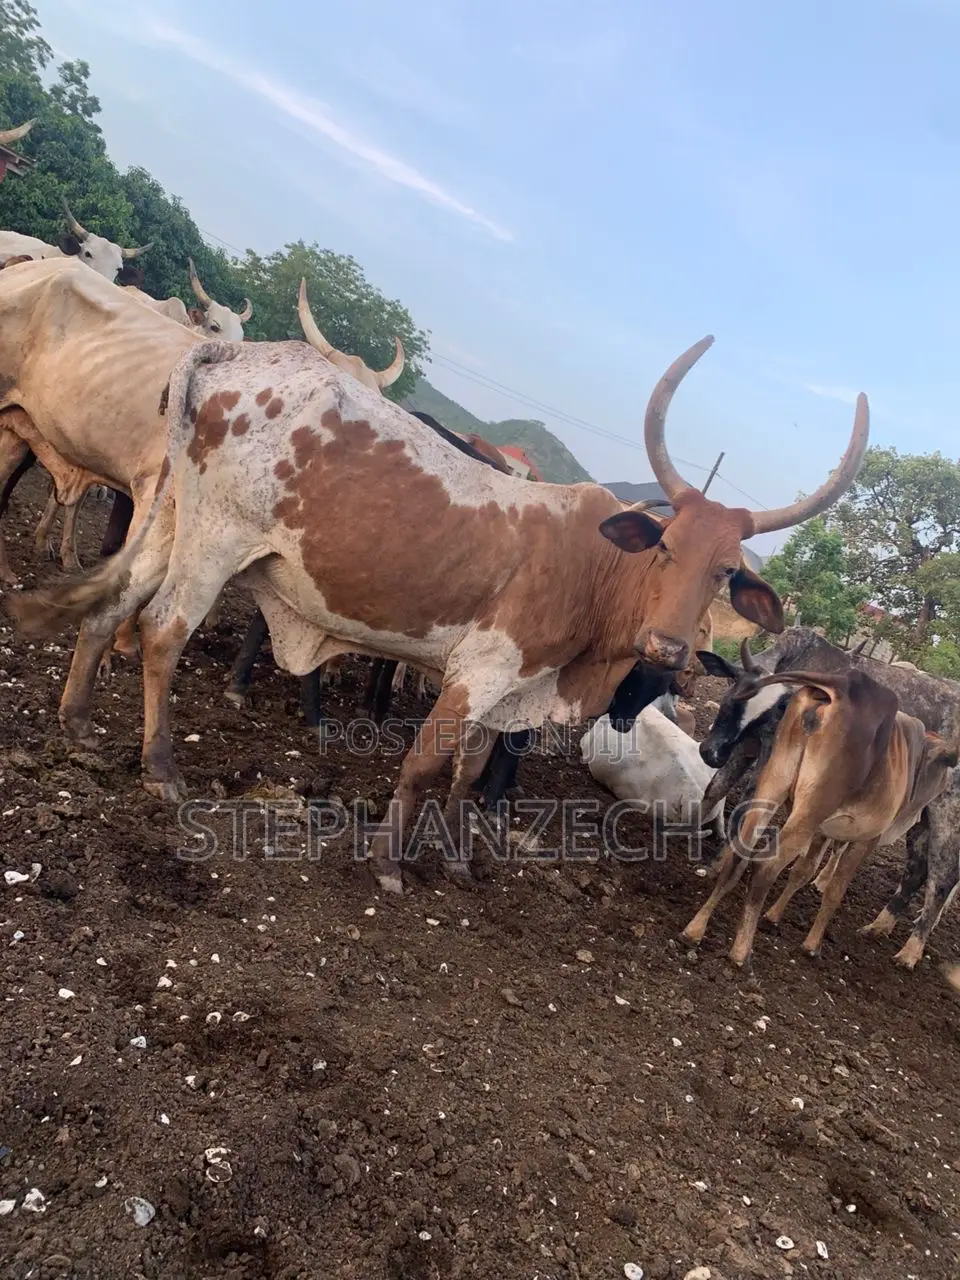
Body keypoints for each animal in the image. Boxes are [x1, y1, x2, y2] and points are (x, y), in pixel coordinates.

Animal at [694, 629, 960, 967]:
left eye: (767, 717)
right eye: (730, 698)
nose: (710, 752)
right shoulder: (747, 752)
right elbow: (716, 790)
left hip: (947, 818)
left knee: (942, 879)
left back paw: (911, 950)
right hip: (917, 817)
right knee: (916, 870)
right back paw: (879, 926)